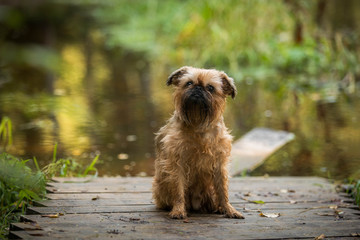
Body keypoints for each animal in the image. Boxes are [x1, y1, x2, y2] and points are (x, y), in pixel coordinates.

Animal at [152, 66, 245, 219]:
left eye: (210, 88)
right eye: (189, 83)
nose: (198, 88)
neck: (198, 123)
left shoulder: (219, 164)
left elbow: (223, 190)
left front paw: (229, 209)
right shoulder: (177, 163)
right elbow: (178, 189)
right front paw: (178, 210)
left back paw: (219, 208)